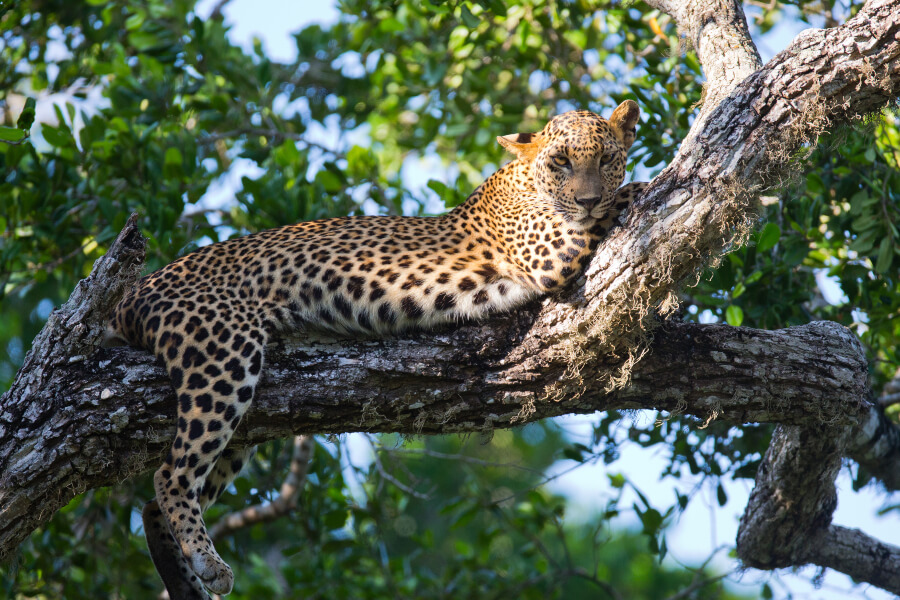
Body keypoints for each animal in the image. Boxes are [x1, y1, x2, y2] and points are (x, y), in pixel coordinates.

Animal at [105, 100, 647, 599]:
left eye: (605, 158)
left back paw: (187, 583)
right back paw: (208, 563)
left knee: (157, 501)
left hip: (245, 418)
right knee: (170, 474)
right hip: (221, 357)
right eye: (561, 162)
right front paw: (639, 188)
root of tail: (134, 292)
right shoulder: (551, 250)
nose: (587, 199)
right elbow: (621, 199)